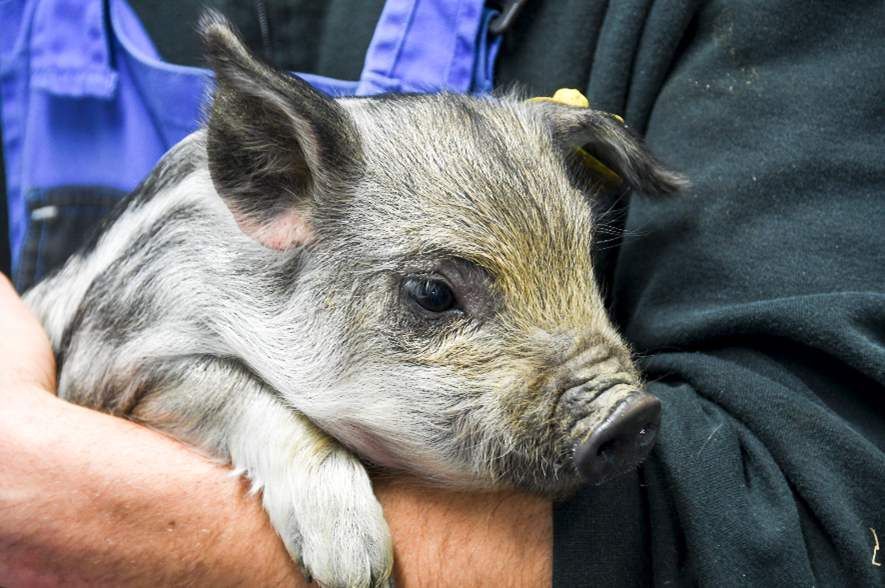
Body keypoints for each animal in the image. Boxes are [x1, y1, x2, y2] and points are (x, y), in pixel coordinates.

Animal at [24, 12, 685, 588]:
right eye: (432, 292)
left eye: (584, 257)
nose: (635, 413)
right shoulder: (112, 358)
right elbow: (239, 389)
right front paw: (356, 570)